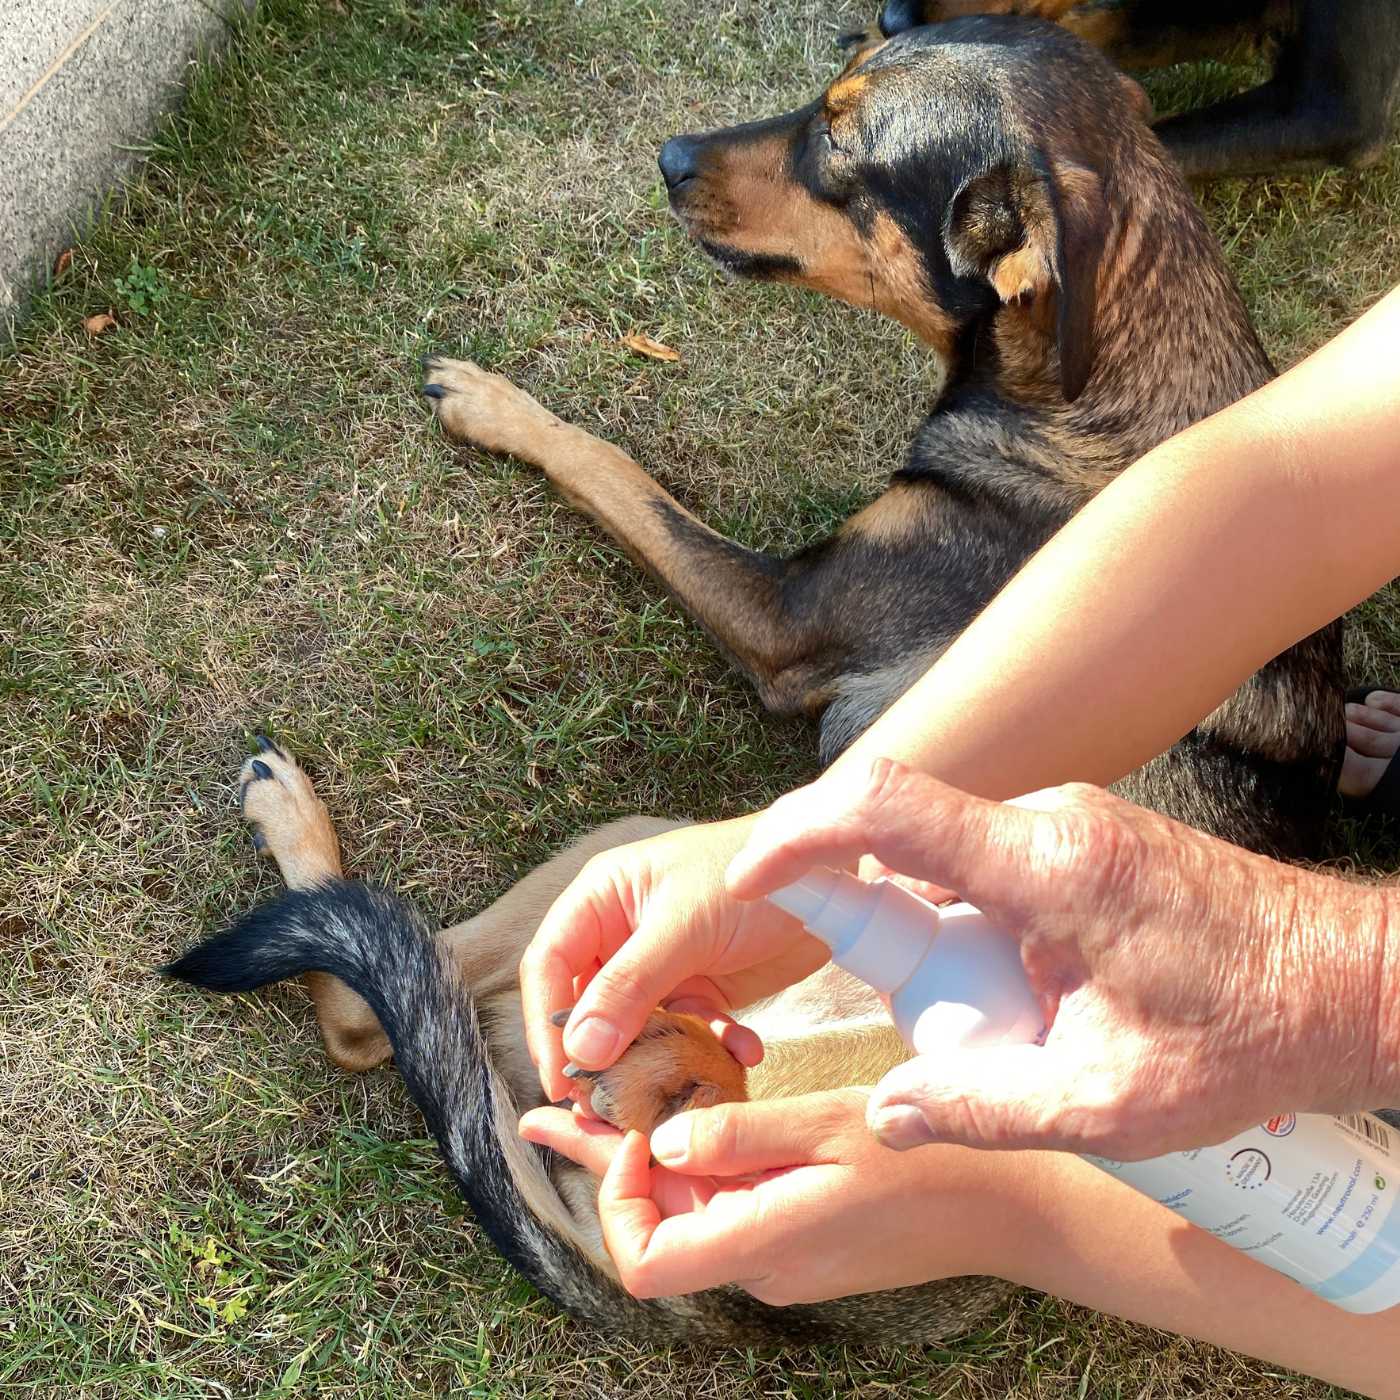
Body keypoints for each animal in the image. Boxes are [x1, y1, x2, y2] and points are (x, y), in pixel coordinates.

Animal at [172, 21, 1344, 1349]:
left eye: (840, 148)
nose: (668, 154)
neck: (1106, 373)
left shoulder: (777, 621)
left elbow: (618, 471)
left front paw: (499, 405)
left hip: (630, 857)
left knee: (380, 1003)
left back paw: (300, 822)